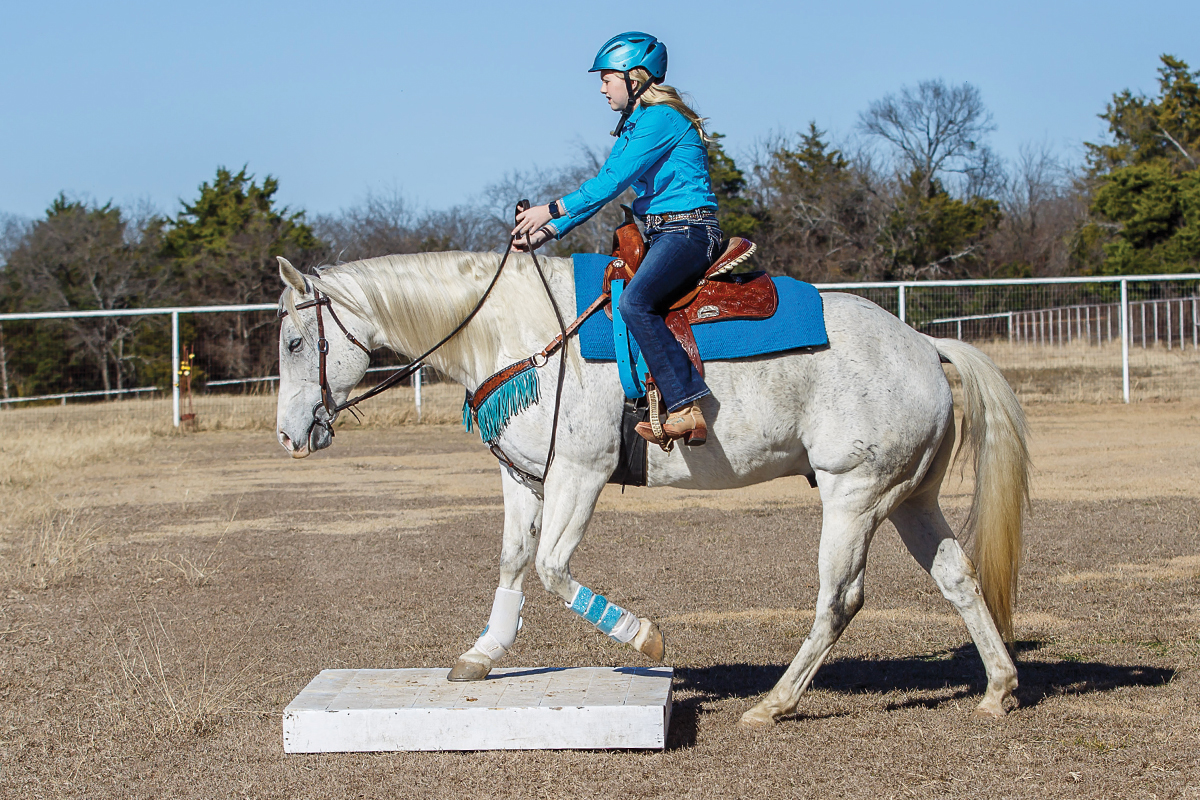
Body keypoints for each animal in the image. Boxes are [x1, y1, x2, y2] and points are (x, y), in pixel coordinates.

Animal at [274, 250, 1032, 724]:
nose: (288, 435)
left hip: (854, 496)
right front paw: (482, 655)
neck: (522, 332)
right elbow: (514, 563)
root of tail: (925, 346)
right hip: (909, 500)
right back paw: (998, 689)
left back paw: (774, 703)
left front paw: (645, 640)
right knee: (958, 578)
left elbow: (552, 568)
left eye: (292, 342)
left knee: (839, 600)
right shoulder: (523, 477)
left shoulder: (580, 474)